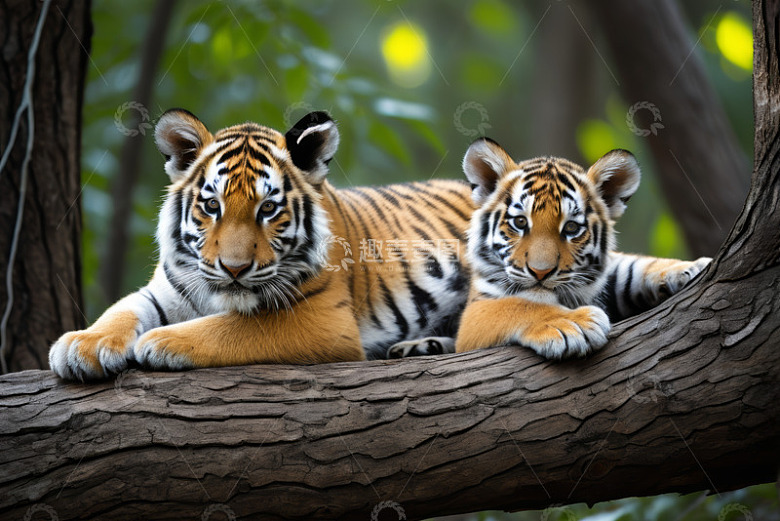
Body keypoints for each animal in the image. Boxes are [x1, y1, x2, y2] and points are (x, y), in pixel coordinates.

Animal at [49, 109, 474, 380]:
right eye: (212, 206)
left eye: (268, 208)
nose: (234, 269)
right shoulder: (165, 289)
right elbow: (122, 309)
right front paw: (83, 345)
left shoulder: (322, 319)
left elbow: (232, 328)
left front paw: (160, 341)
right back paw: (420, 346)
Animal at [388, 138, 710, 359]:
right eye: (520, 222)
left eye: (571, 228)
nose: (540, 272)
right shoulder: (477, 310)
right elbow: (516, 305)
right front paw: (574, 325)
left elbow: (632, 268)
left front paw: (693, 266)